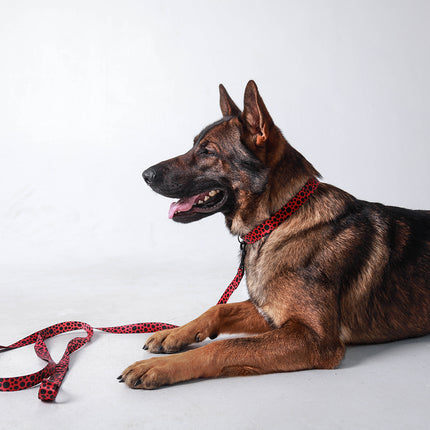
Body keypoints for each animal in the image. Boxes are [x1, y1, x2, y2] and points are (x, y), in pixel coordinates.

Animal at [118, 80, 430, 390]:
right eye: (194, 145)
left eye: (208, 151)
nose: (145, 175)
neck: (278, 221)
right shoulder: (270, 313)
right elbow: (218, 310)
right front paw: (174, 333)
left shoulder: (314, 338)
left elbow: (226, 346)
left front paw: (158, 367)